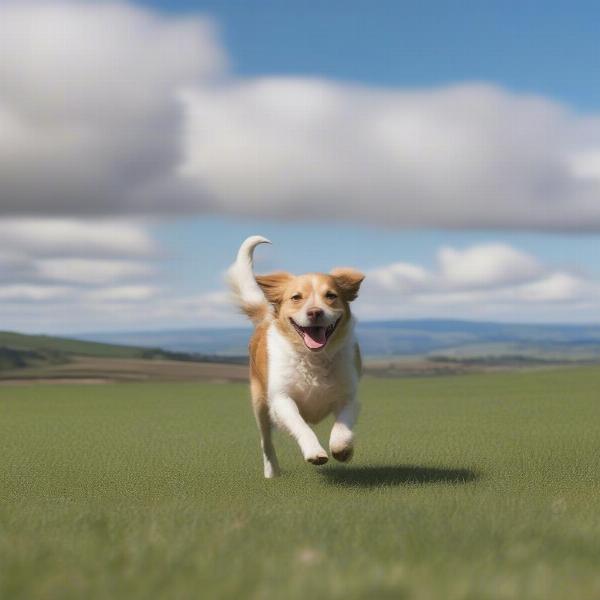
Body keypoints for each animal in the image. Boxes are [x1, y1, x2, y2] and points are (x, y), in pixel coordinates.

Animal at [227, 234, 364, 478]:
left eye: (331, 296)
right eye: (296, 297)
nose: (315, 312)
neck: (313, 357)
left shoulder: (349, 396)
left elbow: (343, 425)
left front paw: (342, 449)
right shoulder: (281, 399)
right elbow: (301, 425)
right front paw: (315, 452)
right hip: (260, 404)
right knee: (266, 442)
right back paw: (272, 473)